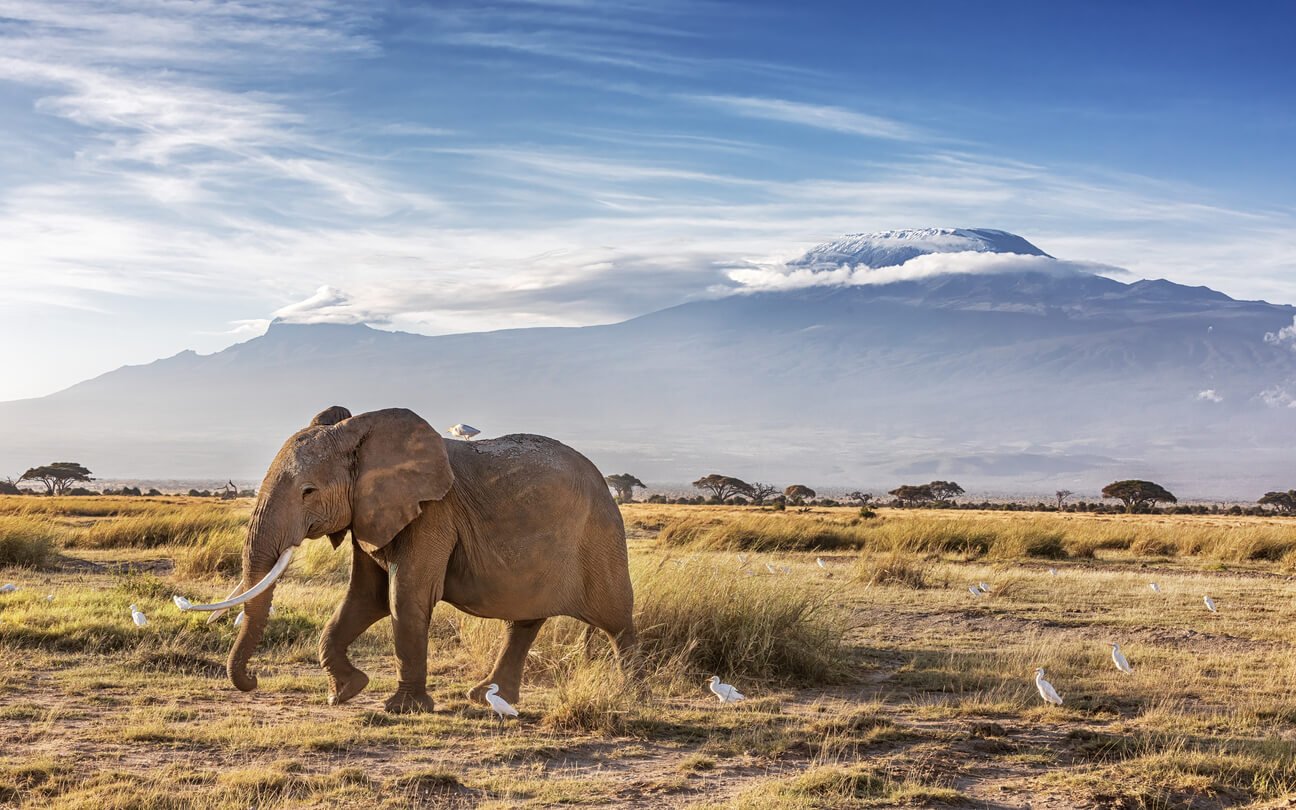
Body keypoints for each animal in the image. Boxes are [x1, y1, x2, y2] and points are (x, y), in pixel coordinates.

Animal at [185, 406, 640, 710]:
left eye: (308, 492)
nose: (253, 680)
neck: (360, 432)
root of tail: (605, 482)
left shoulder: (432, 513)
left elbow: (404, 597)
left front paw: (402, 709)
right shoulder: (370, 513)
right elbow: (363, 599)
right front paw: (345, 692)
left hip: (600, 535)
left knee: (616, 619)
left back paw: (632, 694)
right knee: (524, 621)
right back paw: (486, 698)